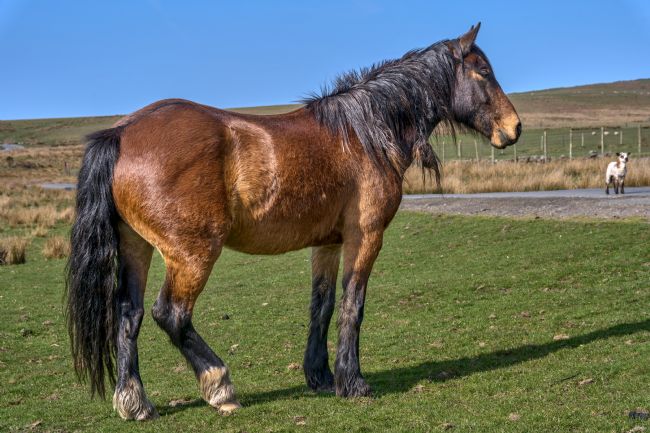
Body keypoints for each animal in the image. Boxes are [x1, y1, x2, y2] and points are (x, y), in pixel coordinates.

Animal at [65, 23, 521, 420]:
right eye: (483, 71)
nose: (514, 128)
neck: (366, 135)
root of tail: (122, 133)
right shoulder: (366, 236)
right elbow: (353, 304)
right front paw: (353, 383)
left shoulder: (329, 242)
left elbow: (322, 304)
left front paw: (320, 376)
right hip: (192, 254)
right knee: (171, 314)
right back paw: (220, 386)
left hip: (136, 246)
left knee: (130, 314)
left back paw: (135, 403)